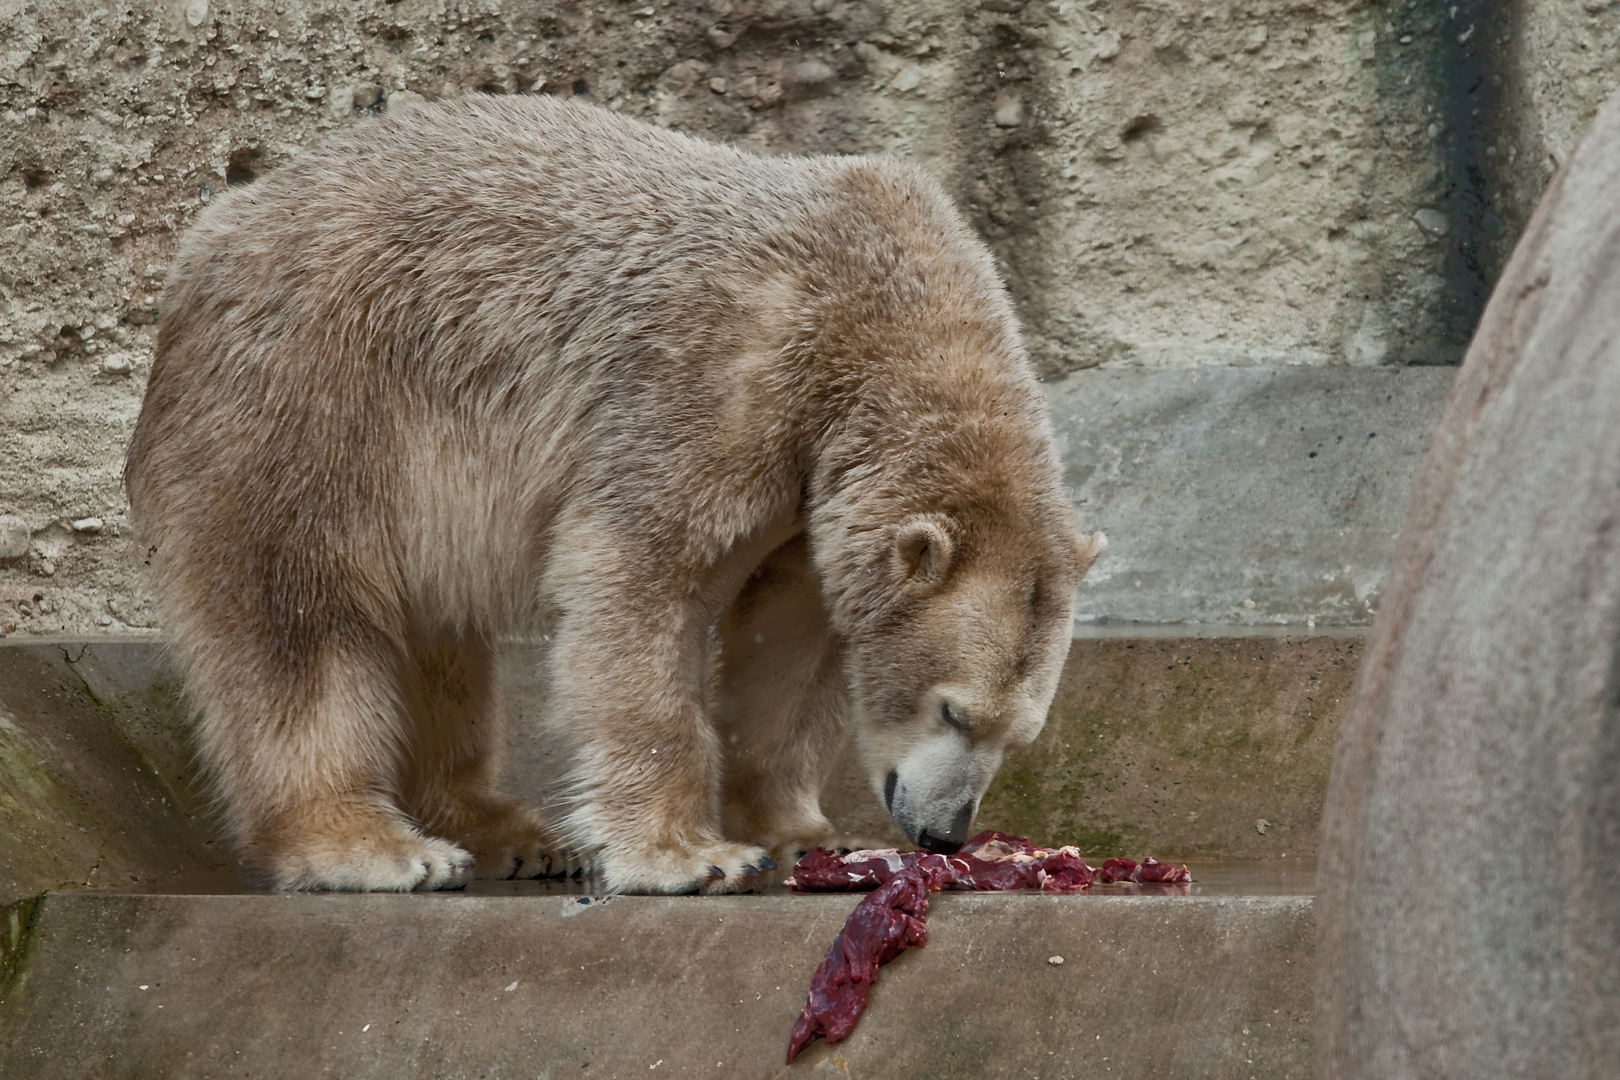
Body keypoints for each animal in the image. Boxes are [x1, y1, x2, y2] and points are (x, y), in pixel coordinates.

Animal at [126, 97, 1108, 893]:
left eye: (1019, 735)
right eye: (953, 710)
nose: (943, 834)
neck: (882, 309)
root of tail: (204, 250)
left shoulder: (812, 487)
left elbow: (793, 640)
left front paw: (798, 831)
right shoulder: (714, 387)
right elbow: (637, 578)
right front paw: (692, 855)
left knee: (439, 640)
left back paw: (506, 829)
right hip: (309, 403)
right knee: (300, 619)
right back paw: (373, 844)